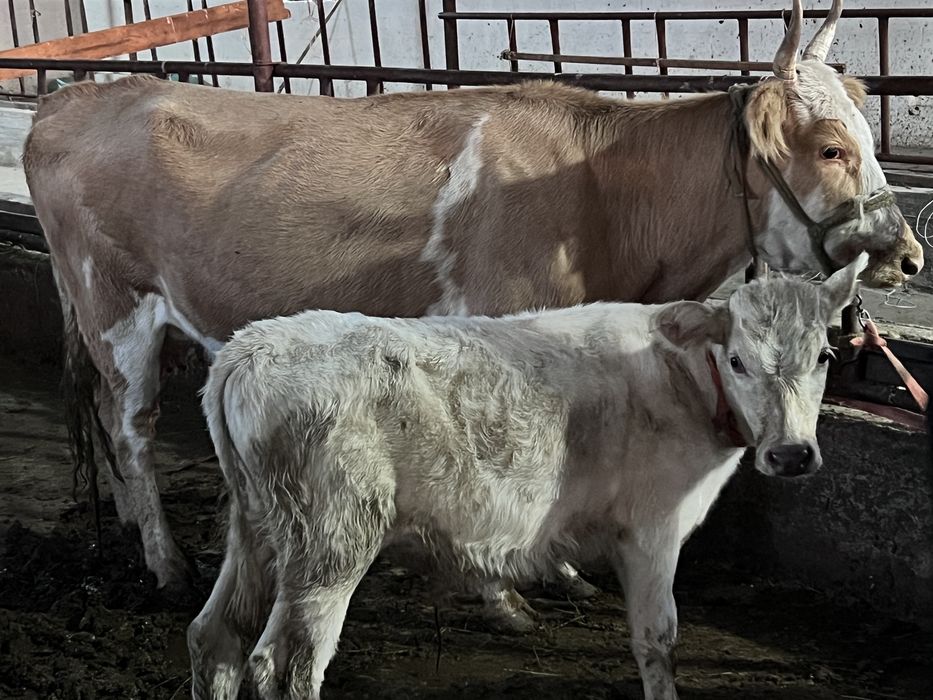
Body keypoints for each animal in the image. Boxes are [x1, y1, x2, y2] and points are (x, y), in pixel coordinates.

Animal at [22, 0, 922, 627]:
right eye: (830, 148)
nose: (907, 254)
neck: (602, 198)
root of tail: (81, 95)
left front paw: (558, 573)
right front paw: (504, 594)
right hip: (115, 307)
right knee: (131, 427)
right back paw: (166, 562)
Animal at [187, 253, 868, 700]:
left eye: (825, 355)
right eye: (738, 360)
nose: (791, 454)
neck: (678, 379)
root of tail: (249, 348)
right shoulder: (651, 528)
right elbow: (658, 640)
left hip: (257, 529)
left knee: (214, 636)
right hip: (332, 542)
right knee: (288, 665)